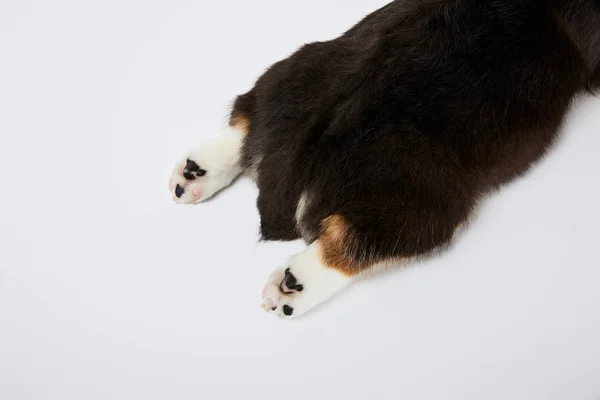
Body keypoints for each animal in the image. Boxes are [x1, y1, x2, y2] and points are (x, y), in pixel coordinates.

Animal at [168, 0, 600, 318]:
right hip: (424, 201)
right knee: (354, 242)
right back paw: (292, 287)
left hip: (298, 69)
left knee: (246, 119)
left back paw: (194, 172)